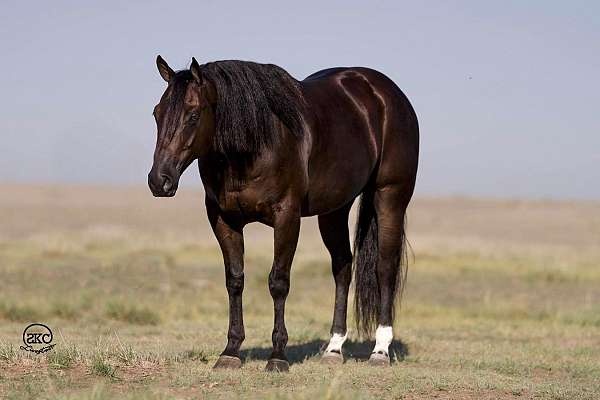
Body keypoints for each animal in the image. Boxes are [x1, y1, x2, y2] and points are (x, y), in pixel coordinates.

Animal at [148, 56, 420, 372]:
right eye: (157, 113)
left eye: (193, 114)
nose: (159, 181)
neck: (254, 144)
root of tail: (386, 93)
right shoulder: (223, 219)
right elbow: (235, 280)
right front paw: (230, 351)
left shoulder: (286, 217)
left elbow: (278, 281)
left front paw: (277, 356)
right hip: (334, 209)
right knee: (342, 267)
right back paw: (334, 348)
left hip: (390, 197)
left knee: (385, 268)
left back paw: (380, 350)